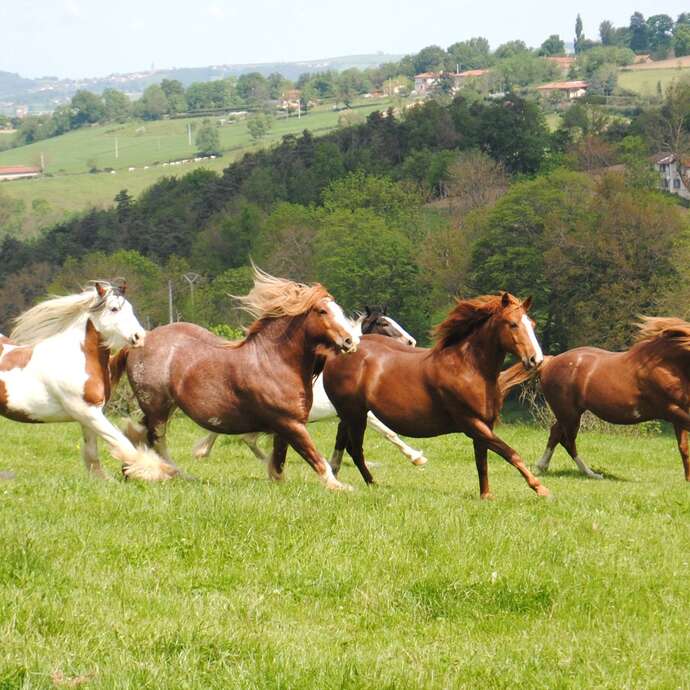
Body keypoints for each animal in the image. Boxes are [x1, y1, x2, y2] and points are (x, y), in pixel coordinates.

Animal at [0, 281, 175, 481]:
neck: (76, 358)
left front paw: (103, 480)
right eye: (114, 309)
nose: (139, 337)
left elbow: (92, 451)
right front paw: (157, 471)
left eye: (130, 308)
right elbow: (122, 442)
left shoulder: (91, 413)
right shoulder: (86, 411)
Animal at [111, 268, 360, 490]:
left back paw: (135, 470)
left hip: (166, 407)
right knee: (156, 441)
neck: (274, 362)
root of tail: (138, 342)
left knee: (140, 435)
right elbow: (315, 457)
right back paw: (167, 473)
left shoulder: (286, 425)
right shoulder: (290, 423)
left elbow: (279, 461)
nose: (350, 341)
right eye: (322, 311)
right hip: (157, 407)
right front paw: (341, 486)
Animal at [191, 305, 428, 467]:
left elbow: (342, 442)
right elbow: (389, 433)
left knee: (242, 436)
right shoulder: (362, 413)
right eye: (384, 323)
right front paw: (417, 457)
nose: (412, 341)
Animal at [321, 292, 550, 499]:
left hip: (350, 416)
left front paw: (486, 495)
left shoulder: (485, 424)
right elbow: (511, 454)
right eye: (513, 324)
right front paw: (541, 489)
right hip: (355, 415)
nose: (535, 359)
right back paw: (374, 484)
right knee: (355, 449)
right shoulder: (472, 423)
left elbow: (482, 461)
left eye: (532, 324)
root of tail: (336, 355)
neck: (469, 368)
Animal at [521, 317, 690, 481]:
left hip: (571, 413)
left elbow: (684, 447)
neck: (664, 365)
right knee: (567, 441)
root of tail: (548, 362)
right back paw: (591, 474)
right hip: (569, 414)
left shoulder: (677, 415)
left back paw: (543, 466)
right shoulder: (671, 410)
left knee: (556, 433)